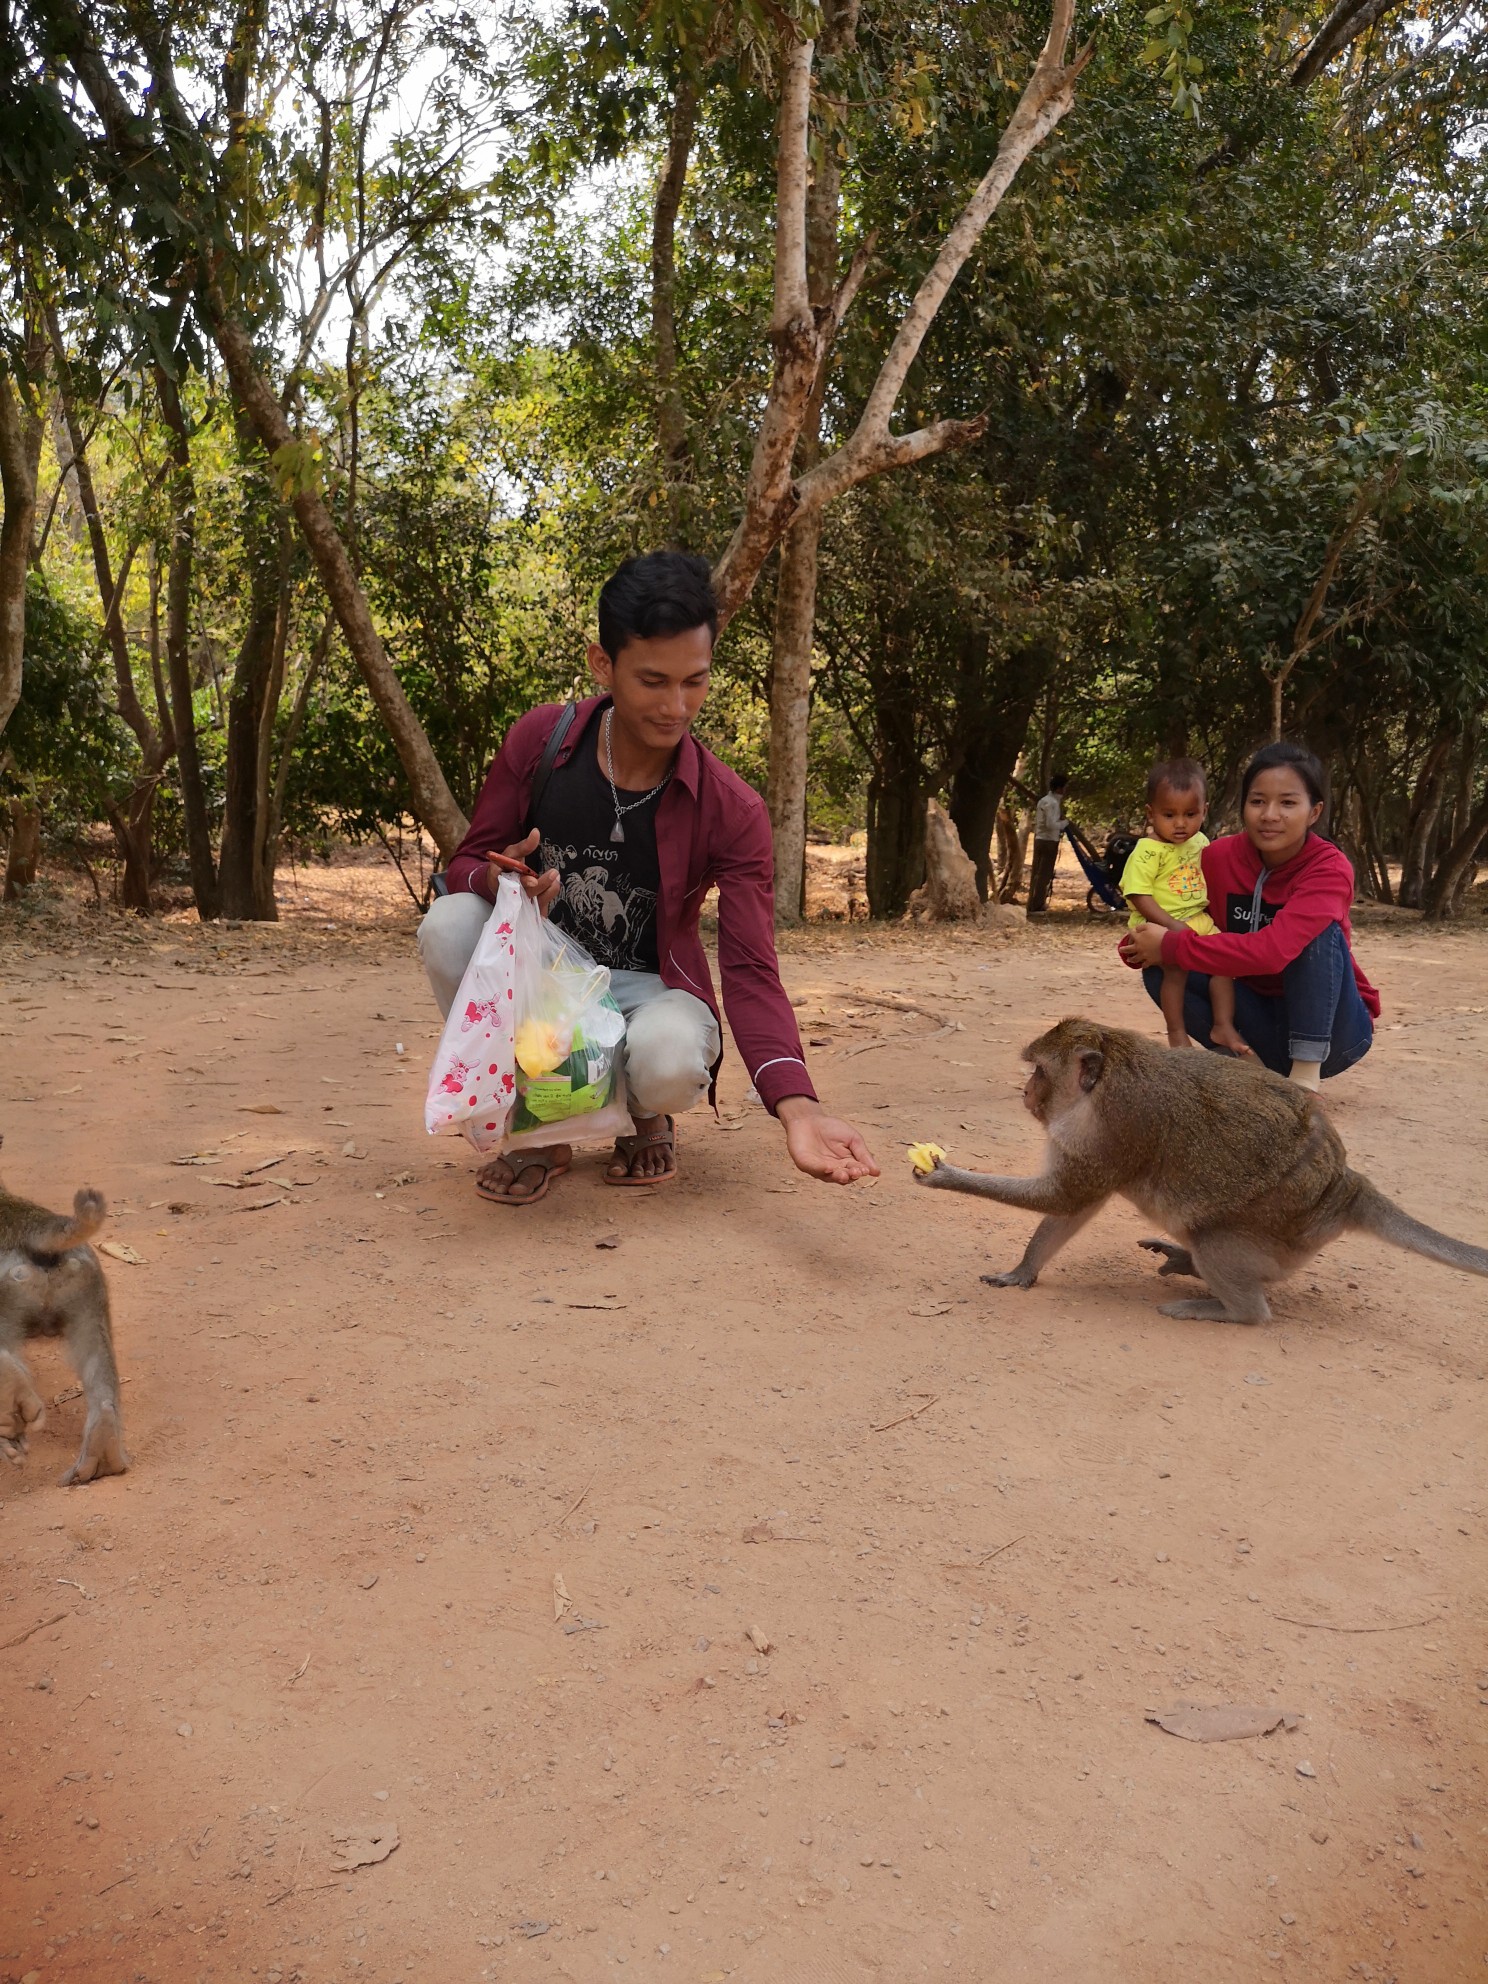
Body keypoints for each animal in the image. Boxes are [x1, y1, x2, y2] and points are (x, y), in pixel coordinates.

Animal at [920, 1015, 1488, 1325]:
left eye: (1040, 1072)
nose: (1026, 1092)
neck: (1105, 1079)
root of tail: (1344, 1186)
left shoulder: (1115, 1126)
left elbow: (1065, 1198)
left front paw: (945, 1175)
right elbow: (1072, 1210)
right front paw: (1024, 1270)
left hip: (1277, 1222)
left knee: (1216, 1241)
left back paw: (1230, 1308)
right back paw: (1191, 1267)